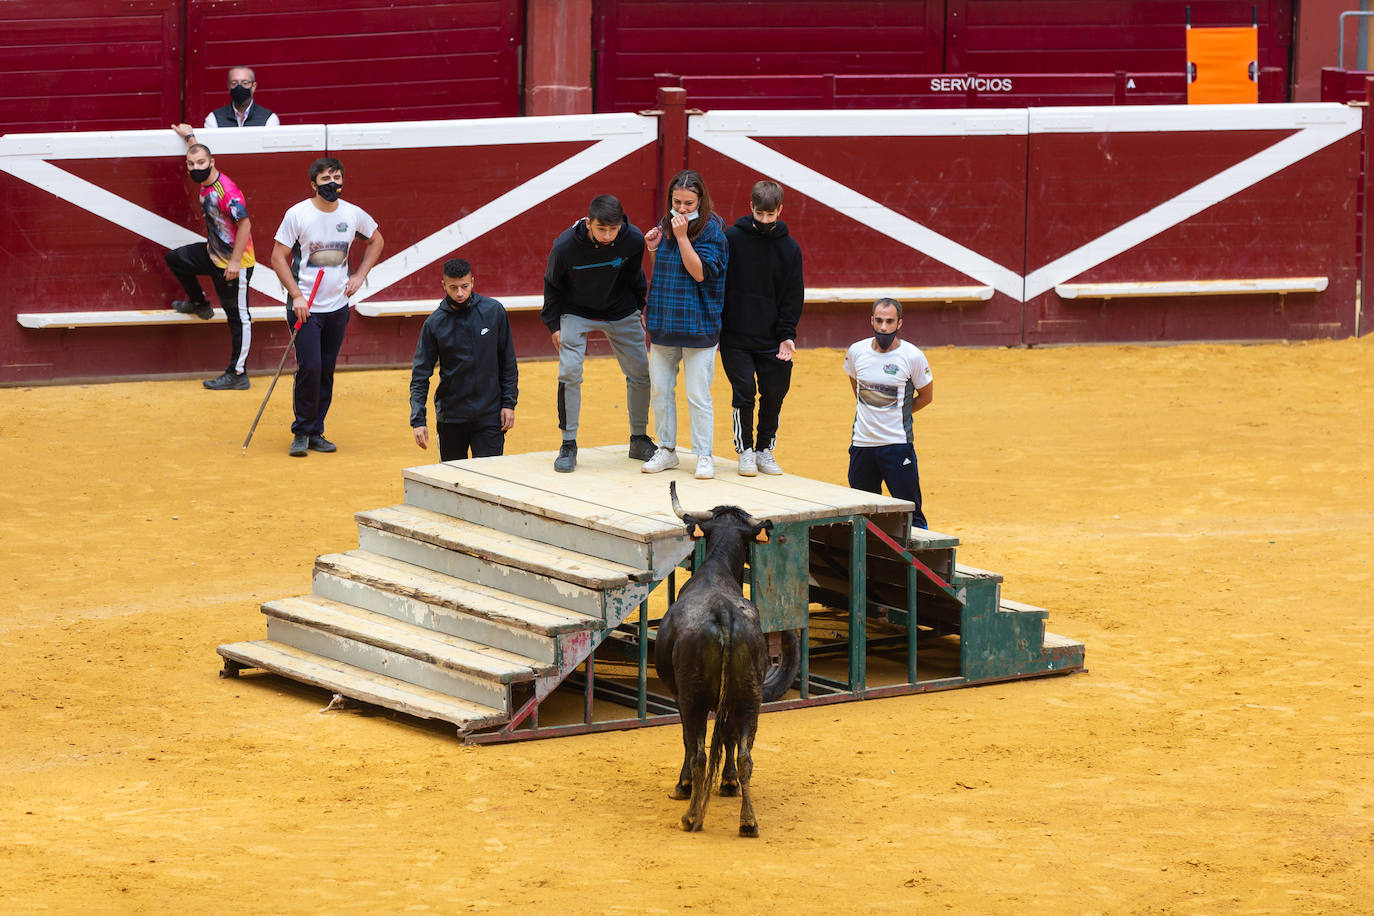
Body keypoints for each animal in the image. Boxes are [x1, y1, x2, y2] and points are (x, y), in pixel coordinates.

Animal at [656, 483, 802, 834]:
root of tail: (722, 612)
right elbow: (731, 739)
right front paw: (728, 783)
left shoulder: (680, 697)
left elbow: (690, 741)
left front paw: (683, 786)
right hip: (750, 695)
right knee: (746, 753)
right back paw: (748, 821)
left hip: (694, 698)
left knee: (698, 753)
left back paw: (691, 816)